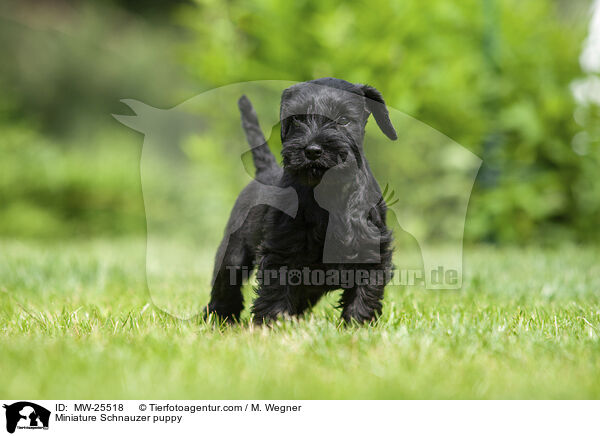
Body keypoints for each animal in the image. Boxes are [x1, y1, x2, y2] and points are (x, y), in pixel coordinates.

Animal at [206, 78, 398, 324]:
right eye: (297, 118)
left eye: (344, 119)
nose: (312, 150)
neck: (330, 194)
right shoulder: (281, 250)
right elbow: (276, 291)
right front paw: (272, 324)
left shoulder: (371, 249)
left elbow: (364, 293)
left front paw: (357, 324)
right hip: (233, 252)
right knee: (225, 286)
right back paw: (221, 319)